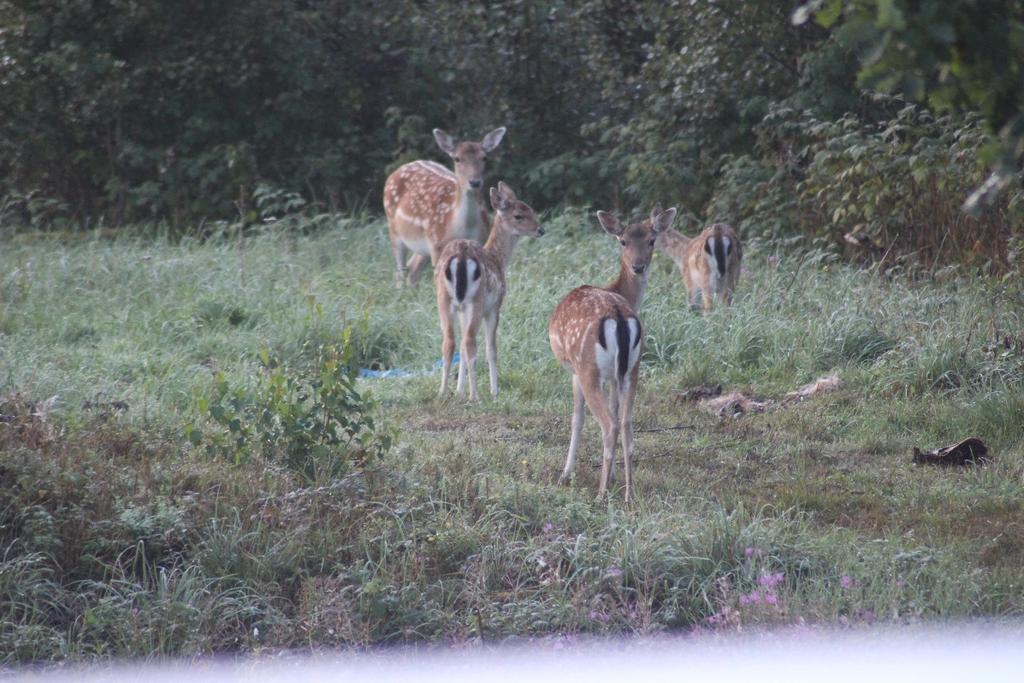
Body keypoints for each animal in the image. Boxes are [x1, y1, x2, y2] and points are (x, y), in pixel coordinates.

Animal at [382, 126, 505, 284]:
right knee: (401, 271)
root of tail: (396, 171)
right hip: (395, 230)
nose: (475, 182)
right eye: (457, 158)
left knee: (412, 270)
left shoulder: (481, 240)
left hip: (424, 246)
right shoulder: (437, 244)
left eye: (484, 158)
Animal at [434, 183, 544, 401]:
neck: (498, 259)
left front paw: (459, 391)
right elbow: (492, 348)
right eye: (519, 215)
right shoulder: (495, 306)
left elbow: (460, 347)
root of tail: (460, 256)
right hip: (476, 300)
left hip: (444, 299)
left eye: (531, 209)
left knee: (450, 342)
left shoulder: (461, 309)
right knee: (470, 342)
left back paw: (442, 392)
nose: (540, 230)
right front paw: (494, 390)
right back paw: (475, 395)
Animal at [548, 205, 675, 499]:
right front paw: (615, 475)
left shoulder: (575, 371)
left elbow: (577, 418)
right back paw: (628, 492)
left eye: (652, 241)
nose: (638, 266)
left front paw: (565, 474)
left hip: (589, 369)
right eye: (623, 241)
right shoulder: (616, 374)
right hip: (633, 368)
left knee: (609, 424)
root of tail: (618, 314)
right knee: (626, 421)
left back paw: (601, 493)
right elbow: (617, 411)